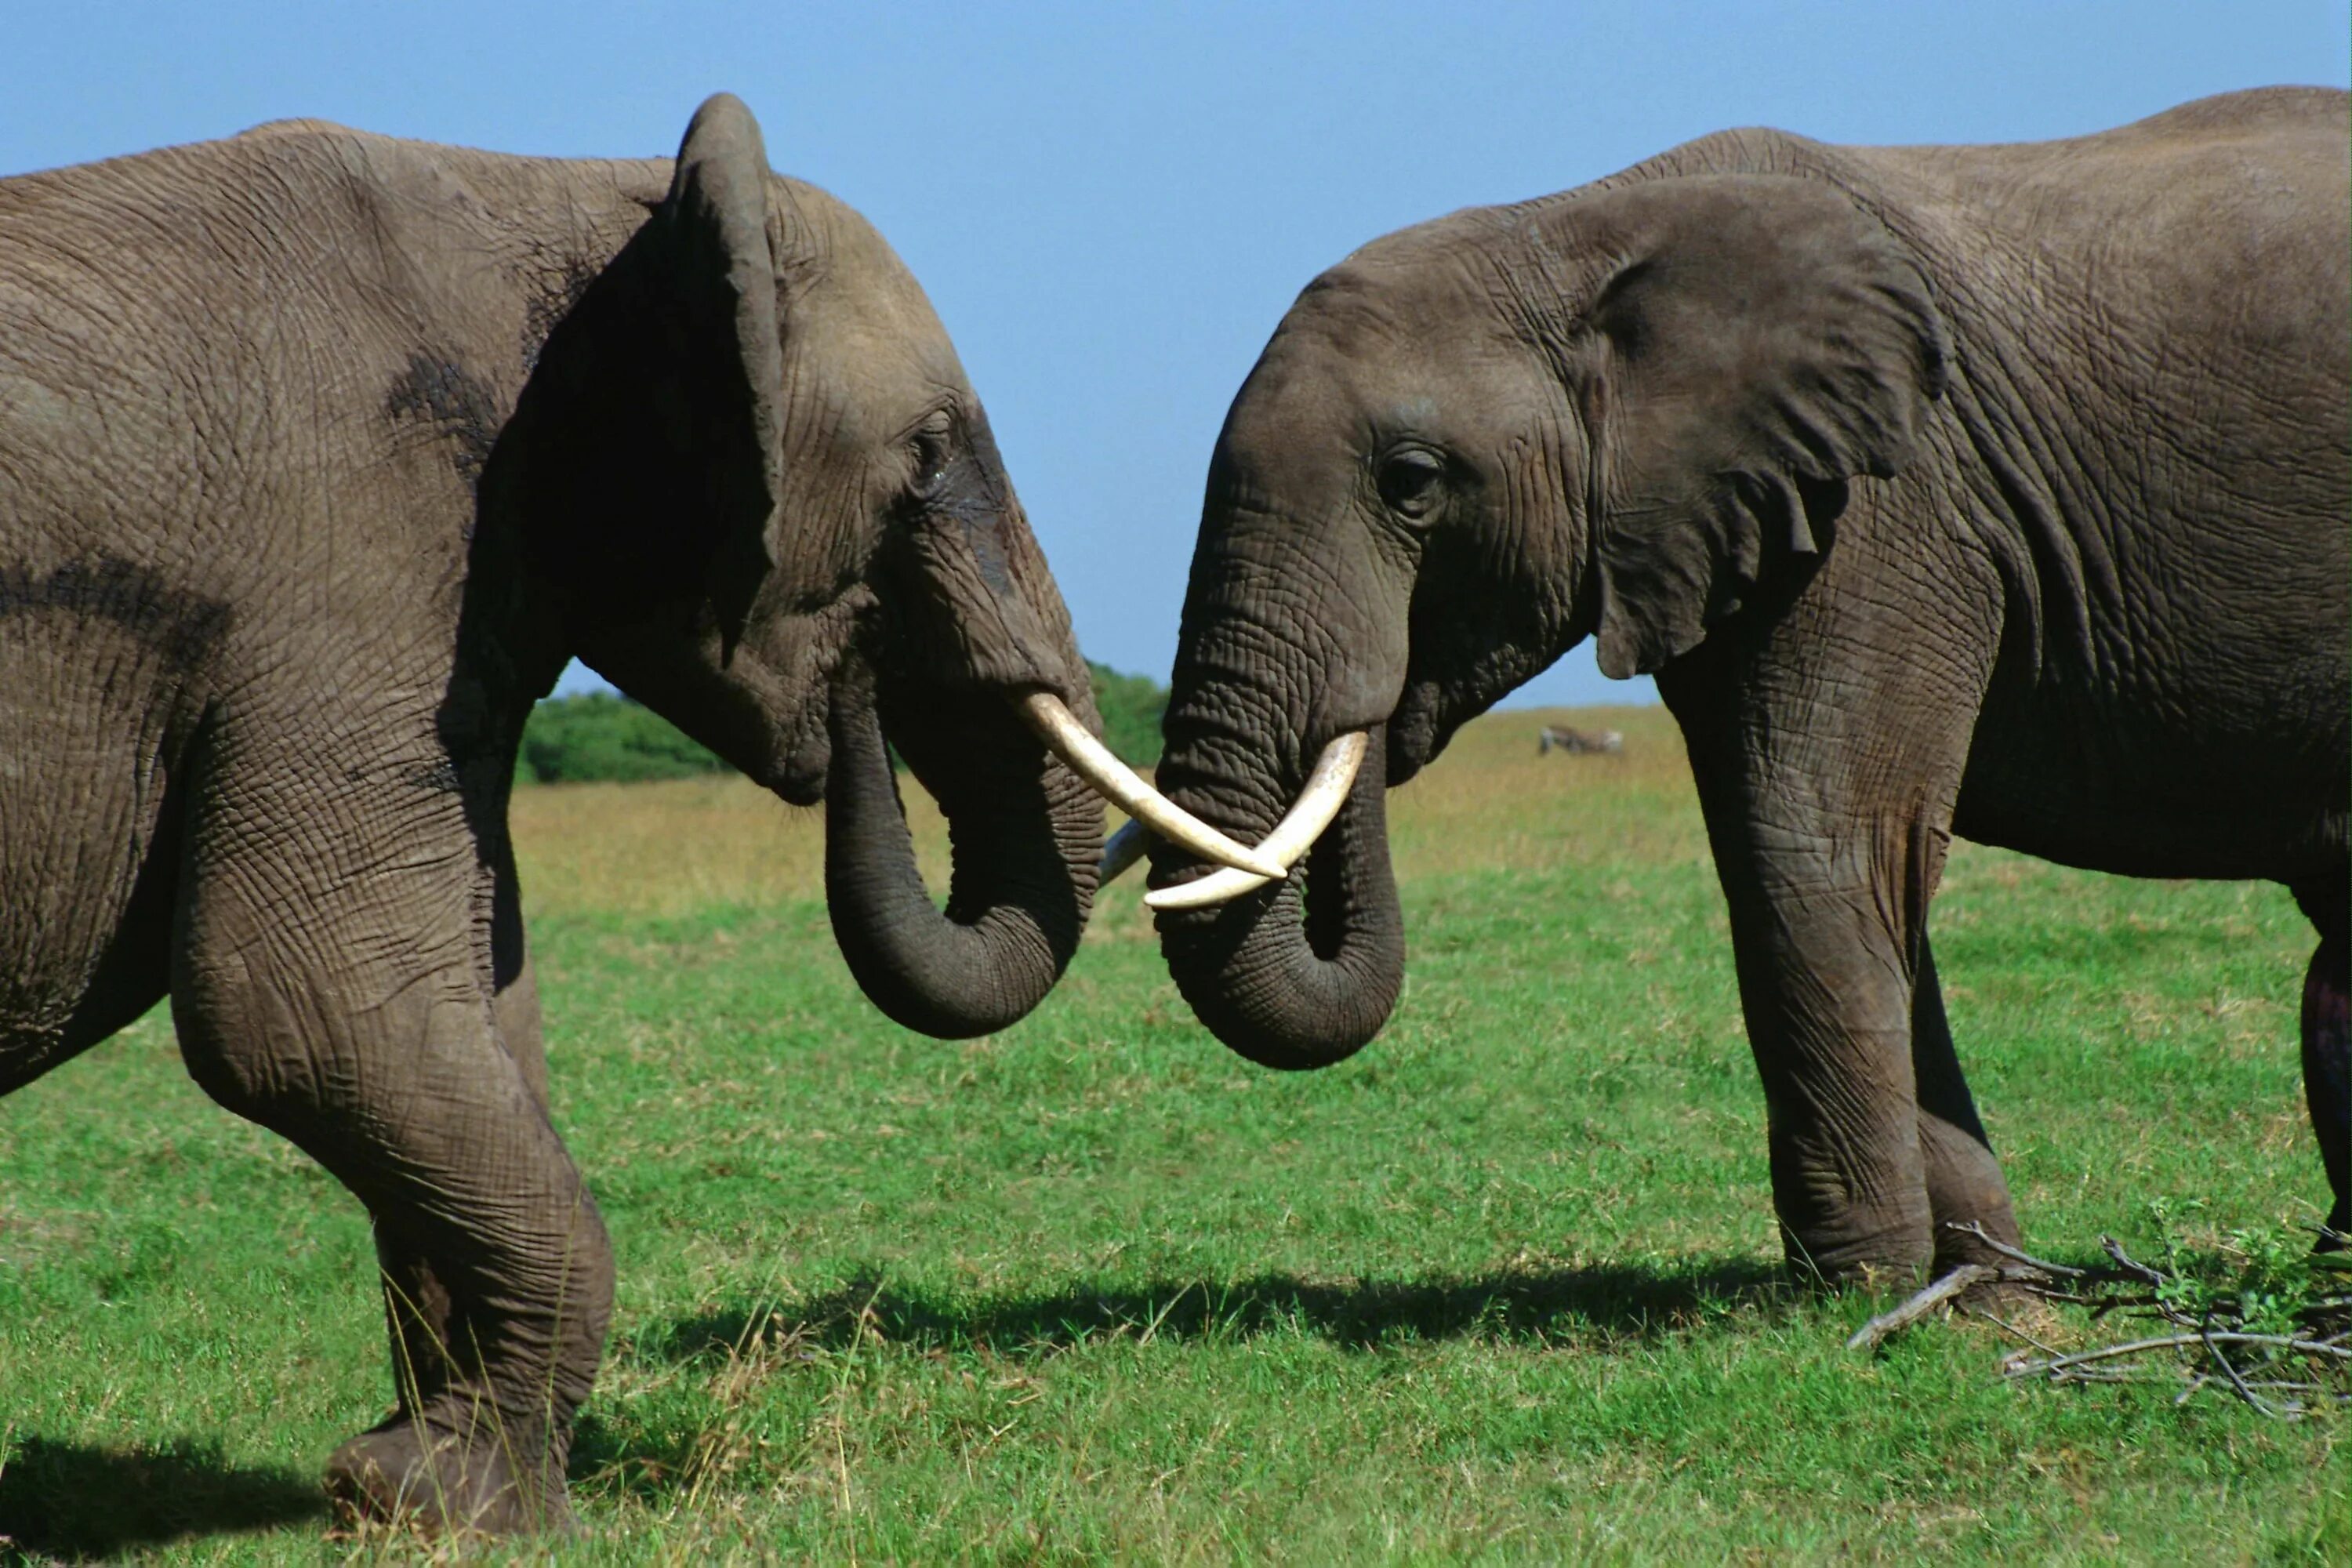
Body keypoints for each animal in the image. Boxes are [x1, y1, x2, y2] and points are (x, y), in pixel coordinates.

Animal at [0, 95, 1251, 1533]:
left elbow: (476, 1006)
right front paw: (442, 1496)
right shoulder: (352, 565)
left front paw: (436, 1491)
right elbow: (302, 1010)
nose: (854, 677)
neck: (586, 205)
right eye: (928, 456)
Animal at [1129, 85, 2343, 1288]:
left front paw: (1867, 1291)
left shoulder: (1886, 507)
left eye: (1412, 483)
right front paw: (1978, 1295)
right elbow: (1814, 862)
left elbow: (1811, 845)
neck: (1577, 230)